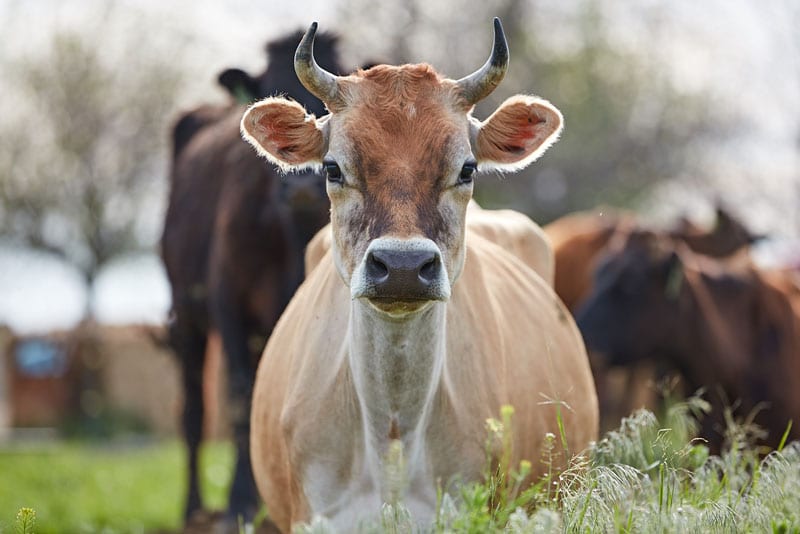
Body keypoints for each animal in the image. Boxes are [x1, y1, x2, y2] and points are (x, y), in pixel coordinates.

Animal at [161, 31, 344, 524]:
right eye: (269, 98)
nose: (301, 186)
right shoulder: (228, 303)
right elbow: (241, 398)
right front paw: (240, 502)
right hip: (186, 316)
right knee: (192, 411)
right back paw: (194, 507)